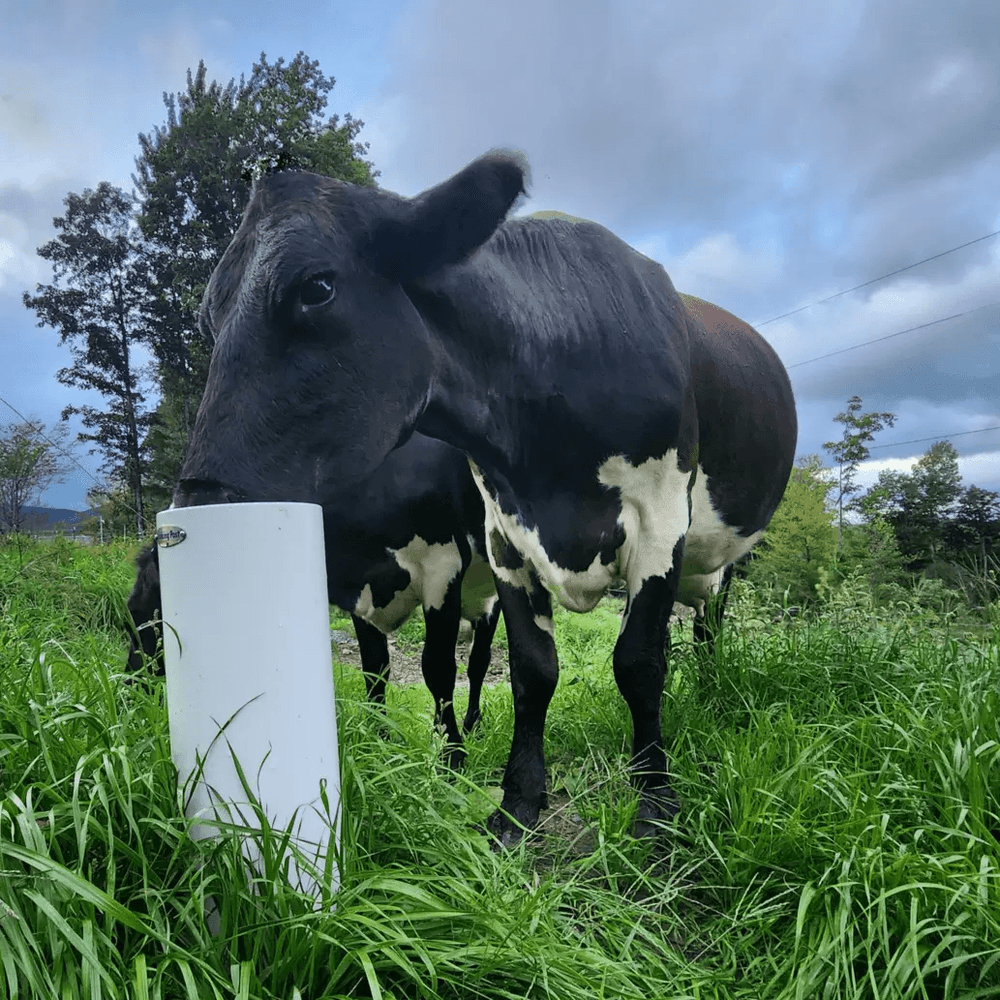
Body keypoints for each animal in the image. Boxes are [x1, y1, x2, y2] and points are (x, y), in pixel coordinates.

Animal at [126, 433, 501, 767]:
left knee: (478, 663)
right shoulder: (361, 595)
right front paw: (378, 740)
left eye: (146, 619)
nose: (127, 690)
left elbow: (438, 669)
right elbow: (375, 671)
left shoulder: (442, 568)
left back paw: (473, 725)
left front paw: (452, 758)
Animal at [175, 151, 798, 845]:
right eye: (208, 316)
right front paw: (516, 800)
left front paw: (655, 801)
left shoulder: (654, 522)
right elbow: (525, 670)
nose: (200, 497)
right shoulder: (501, 536)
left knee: (710, 629)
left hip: (722, 557)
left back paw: (710, 694)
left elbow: (637, 663)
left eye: (316, 288)